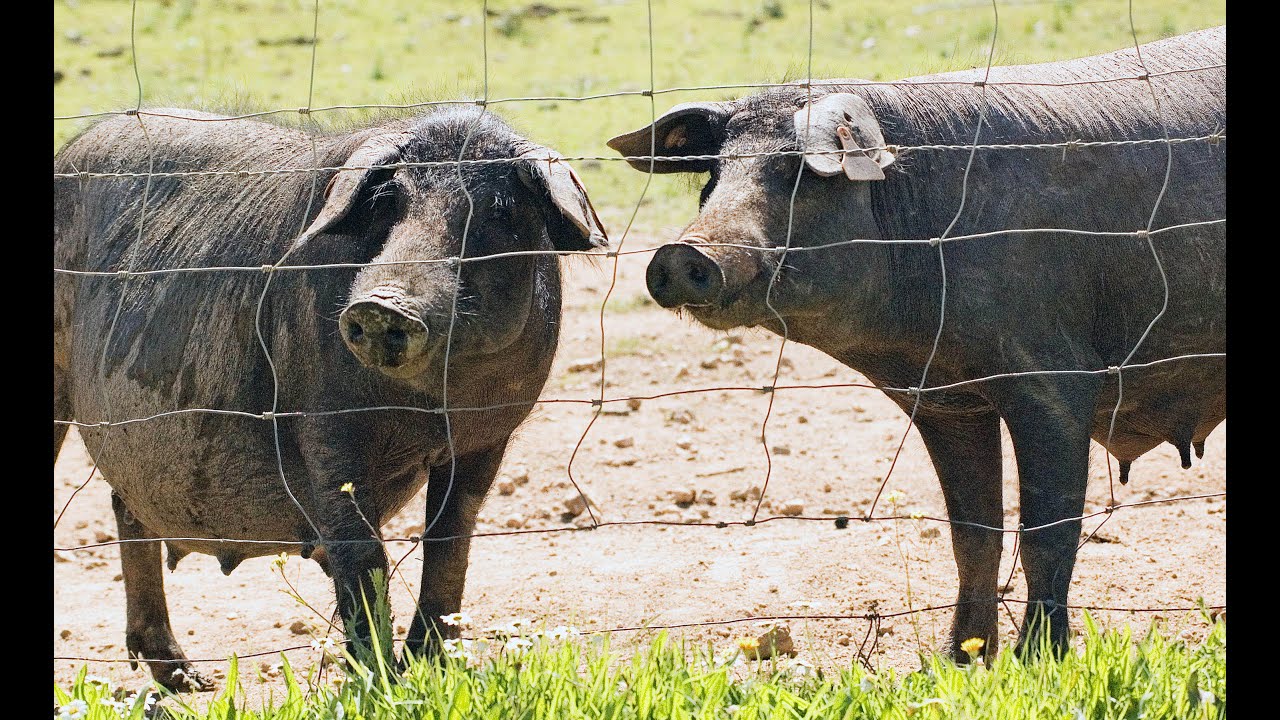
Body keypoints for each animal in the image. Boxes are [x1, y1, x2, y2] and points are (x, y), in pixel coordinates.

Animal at [54, 107, 607, 690]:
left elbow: (450, 540)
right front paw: (382, 684)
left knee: (124, 506)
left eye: (500, 212)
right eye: (389, 201)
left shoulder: (489, 435)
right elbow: (360, 552)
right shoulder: (321, 420)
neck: (429, 403)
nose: (381, 305)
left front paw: (430, 669)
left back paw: (188, 681)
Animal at [607, 27, 1224, 661]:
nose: (681, 252)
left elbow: (1047, 536)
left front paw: (1039, 663)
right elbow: (972, 536)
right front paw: (960, 660)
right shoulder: (944, 401)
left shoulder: (1055, 381)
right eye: (713, 176)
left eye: (801, 175)